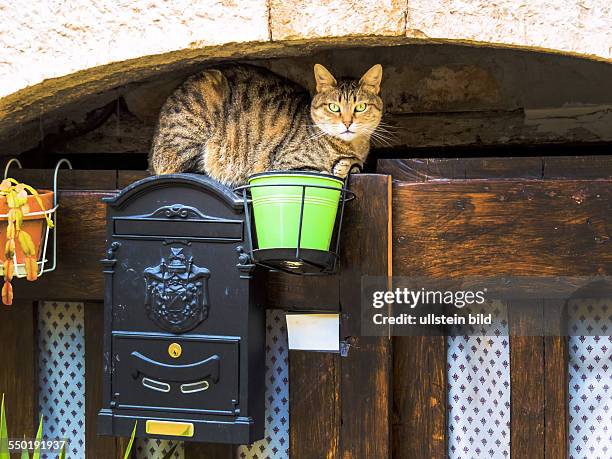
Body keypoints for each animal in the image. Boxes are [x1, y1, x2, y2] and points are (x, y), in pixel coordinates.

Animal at [148, 63, 382, 185]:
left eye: (361, 107)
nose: (347, 123)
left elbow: (354, 166)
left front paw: (348, 166)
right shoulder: (287, 165)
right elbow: (321, 171)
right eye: (334, 107)